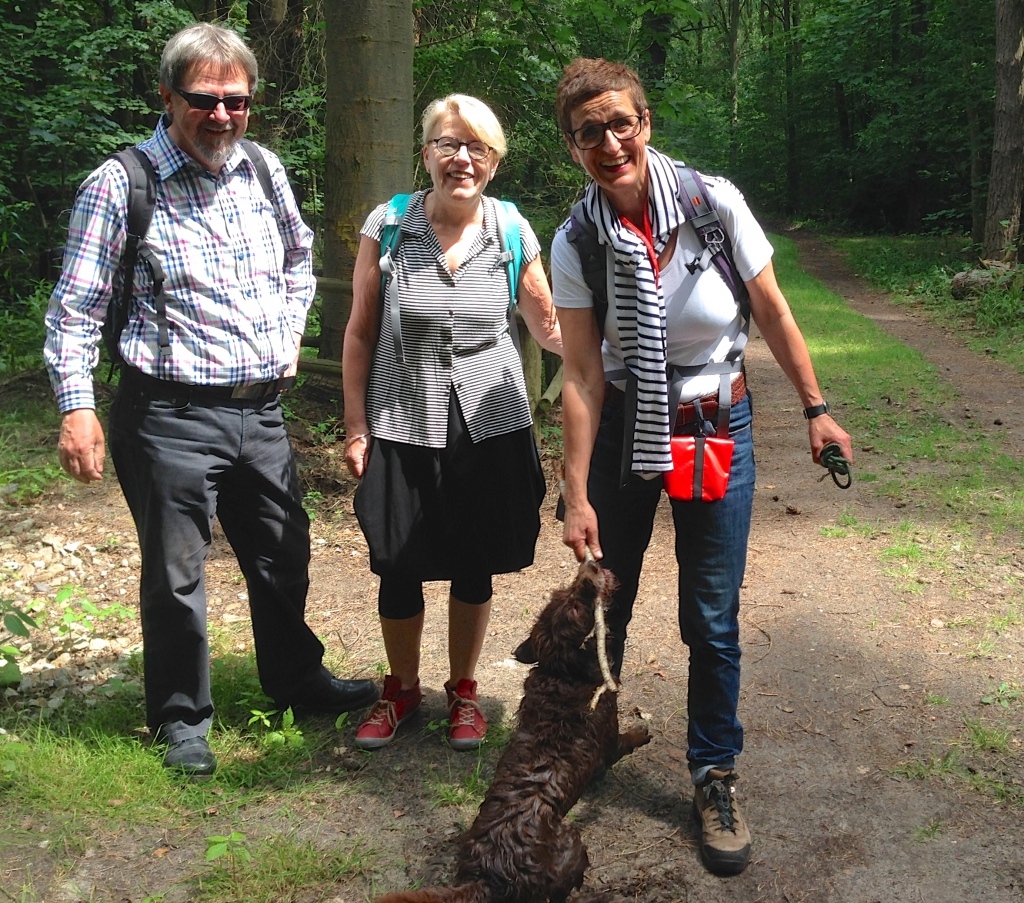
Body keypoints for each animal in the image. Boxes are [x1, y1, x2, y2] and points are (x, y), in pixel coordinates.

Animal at [376, 559, 651, 903]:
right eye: (574, 604)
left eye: (563, 593)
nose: (590, 564)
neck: (562, 675)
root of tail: (487, 876)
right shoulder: (608, 739)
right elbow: (625, 742)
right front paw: (642, 732)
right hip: (571, 841)